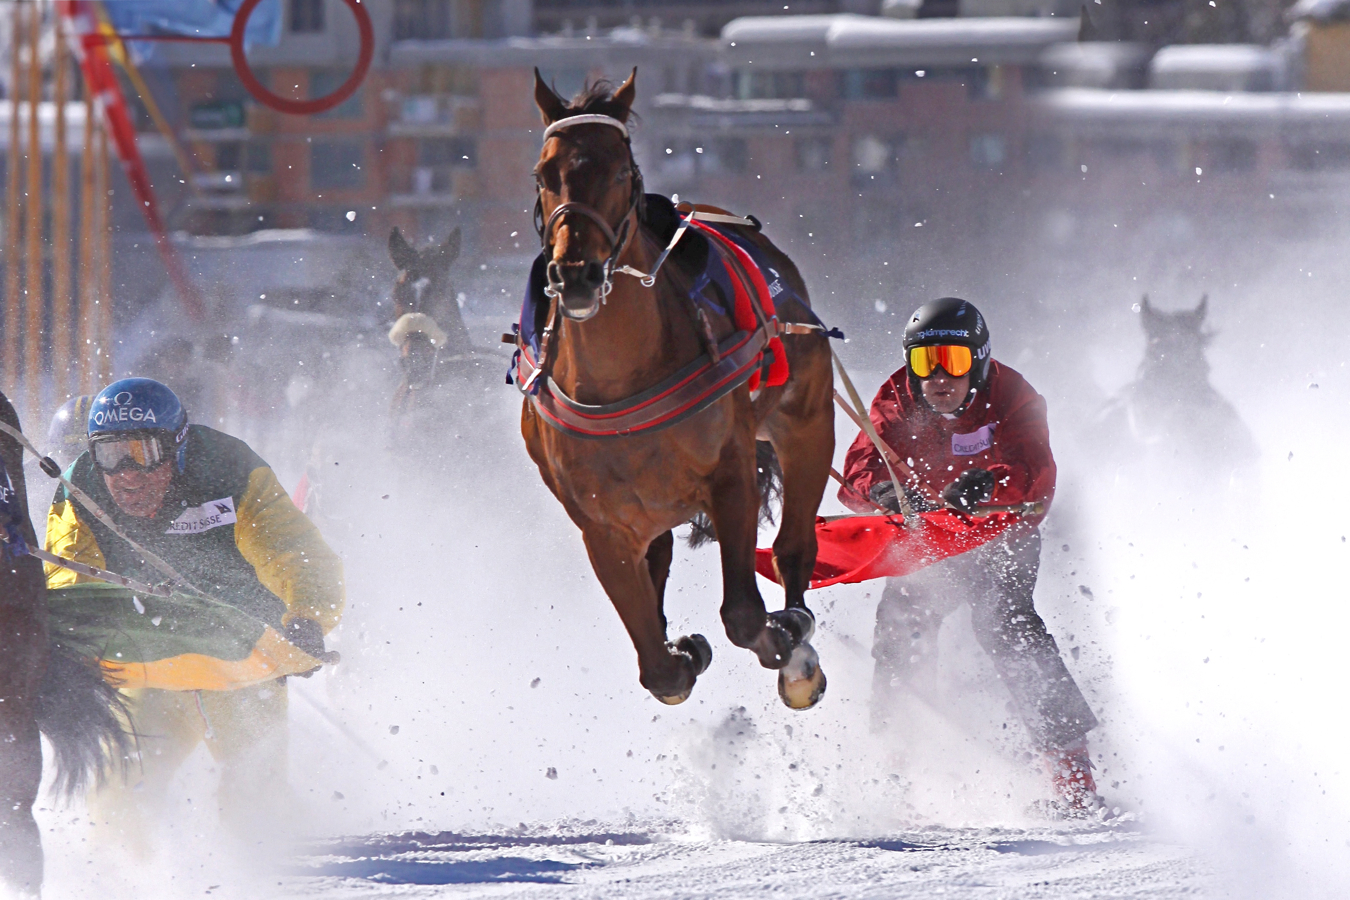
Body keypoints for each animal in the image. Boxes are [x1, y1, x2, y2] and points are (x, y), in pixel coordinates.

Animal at [521, 72, 837, 712]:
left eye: (622, 171)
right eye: (544, 173)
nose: (576, 275)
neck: (622, 383)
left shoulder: (732, 472)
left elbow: (743, 614)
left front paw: (786, 646)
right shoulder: (602, 527)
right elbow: (659, 671)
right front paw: (682, 652)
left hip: (808, 418)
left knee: (794, 546)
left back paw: (796, 635)